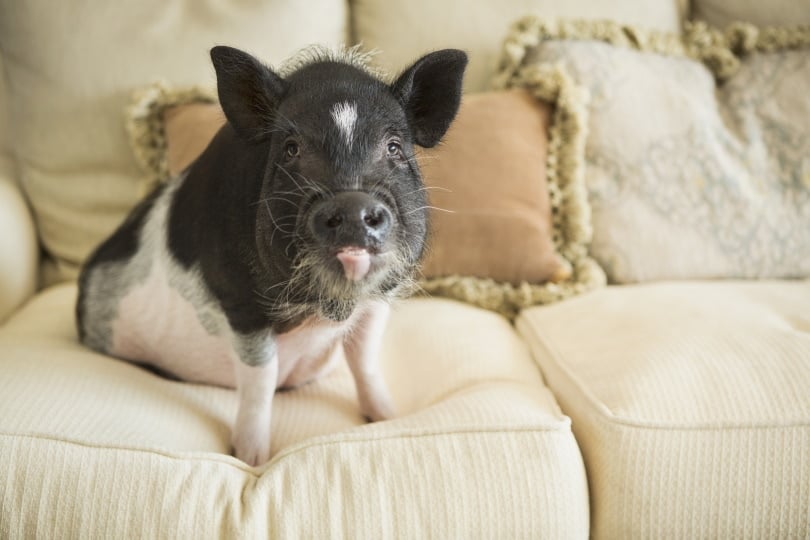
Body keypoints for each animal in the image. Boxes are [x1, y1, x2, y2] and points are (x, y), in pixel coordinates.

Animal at [75, 45, 467, 465]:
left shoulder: (379, 298)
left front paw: (390, 417)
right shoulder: (240, 302)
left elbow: (365, 360)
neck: (324, 310)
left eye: (394, 146)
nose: (352, 204)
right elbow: (260, 379)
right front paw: (251, 459)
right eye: (291, 148)